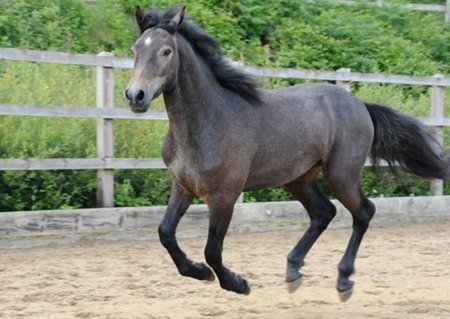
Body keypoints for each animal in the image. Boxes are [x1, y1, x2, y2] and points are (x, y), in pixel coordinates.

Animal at [124, 6, 450, 302]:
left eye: (166, 51)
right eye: (135, 49)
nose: (135, 95)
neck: (207, 121)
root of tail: (359, 104)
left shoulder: (224, 195)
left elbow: (212, 250)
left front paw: (237, 283)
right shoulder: (183, 187)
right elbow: (165, 232)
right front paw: (198, 272)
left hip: (342, 175)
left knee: (363, 212)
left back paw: (343, 279)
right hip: (299, 178)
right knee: (323, 212)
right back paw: (293, 271)